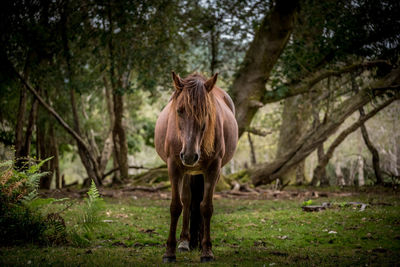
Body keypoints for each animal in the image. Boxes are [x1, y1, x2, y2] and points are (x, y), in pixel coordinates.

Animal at [155, 72, 238, 262]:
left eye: (206, 112)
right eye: (179, 110)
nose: (189, 155)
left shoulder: (213, 169)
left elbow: (206, 207)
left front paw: (207, 250)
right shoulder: (174, 167)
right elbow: (176, 206)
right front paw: (169, 251)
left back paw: (197, 242)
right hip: (186, 172)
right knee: (187, 200)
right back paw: (185, 241)